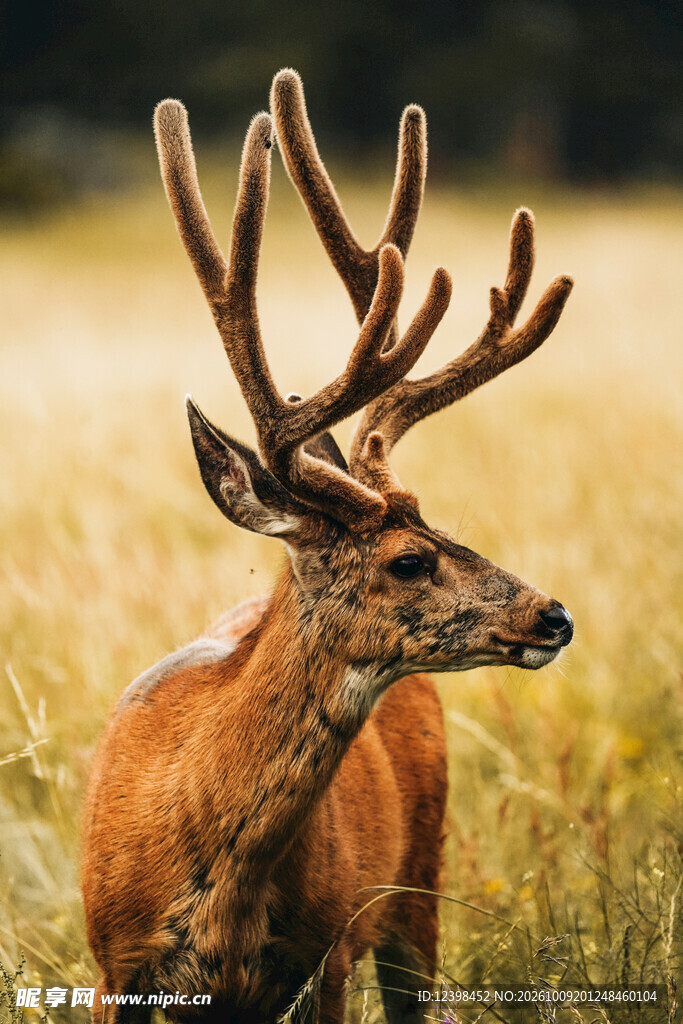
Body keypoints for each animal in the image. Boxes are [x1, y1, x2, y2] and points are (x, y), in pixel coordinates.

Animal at [81, 69, 574, 1024]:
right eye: (409, 559)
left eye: (449, 528)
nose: (552, 615)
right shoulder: (110, 965)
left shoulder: (327, 955)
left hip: (417, 888)